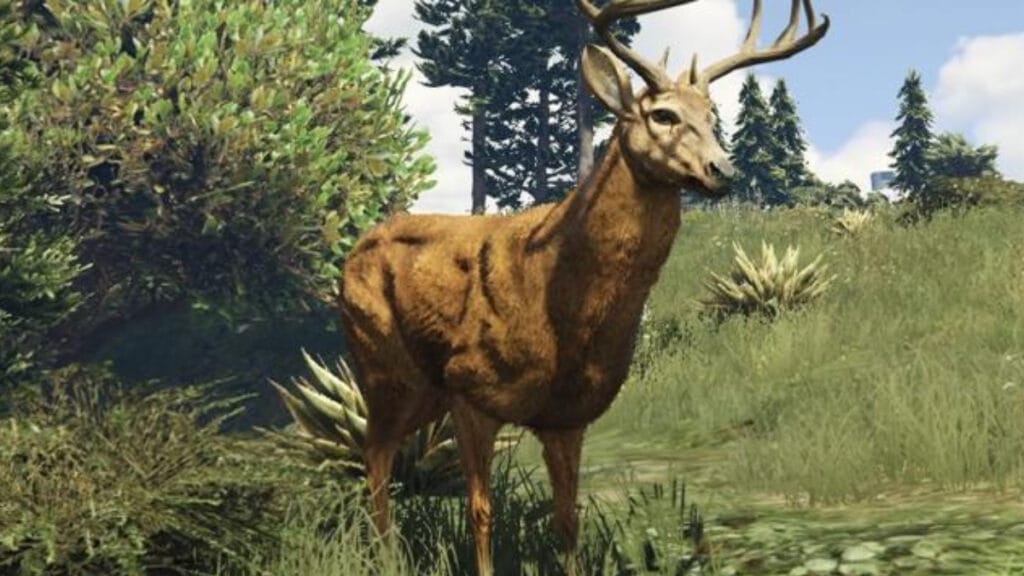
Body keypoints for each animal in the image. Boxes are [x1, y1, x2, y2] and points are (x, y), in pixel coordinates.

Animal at [338, 1, 829, 574]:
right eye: (663, 115)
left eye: (712, 116)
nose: (721, 169)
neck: (563, 308)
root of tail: (354, 249)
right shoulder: (471, 386)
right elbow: (480, 511)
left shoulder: (568, 415)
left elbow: (567, 518)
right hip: (384, 366)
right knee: (375, 458)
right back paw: (386, 557)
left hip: (422, 389)